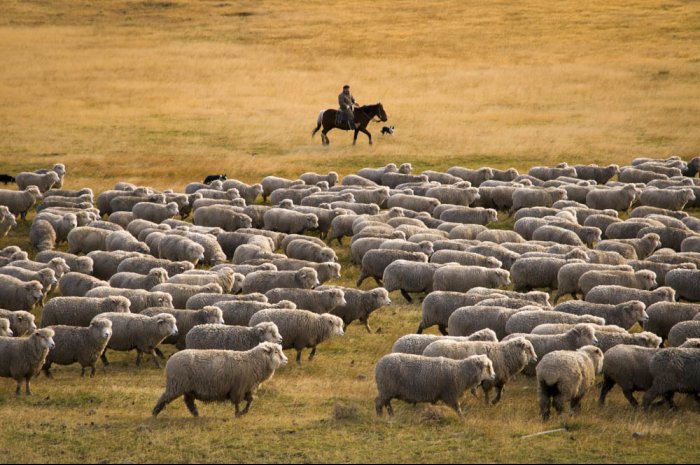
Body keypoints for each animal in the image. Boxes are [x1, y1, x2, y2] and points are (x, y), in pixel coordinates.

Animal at [152, 340, 288, 416]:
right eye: (276, 352)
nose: (286, 360)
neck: (253, 362)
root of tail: (171, 360)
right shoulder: (238, 388)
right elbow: (237, 402)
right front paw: (238, 413)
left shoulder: (246, 388)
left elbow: (250, 400)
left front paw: (244, 411)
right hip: (176, 384)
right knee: (164, 398)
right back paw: (154, 413)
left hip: (188, 388)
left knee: (189, 402)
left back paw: (196, 414)